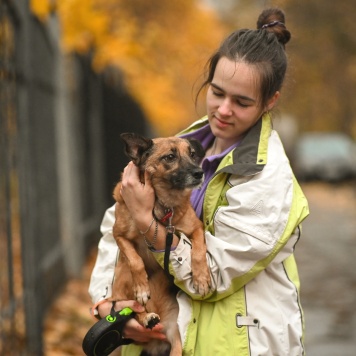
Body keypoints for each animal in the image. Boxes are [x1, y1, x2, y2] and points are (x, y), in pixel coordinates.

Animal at [110, 132, 213, 354]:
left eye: (192, 154)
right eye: (170, 157)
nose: (199, 173)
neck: (162, 207)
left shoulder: (196, 229)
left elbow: (199, 250)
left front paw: (201, 279)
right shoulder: (119, 235)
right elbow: (135, 261)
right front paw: (142, 289)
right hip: (122, 275)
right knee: (130, 308)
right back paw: (146, 317)